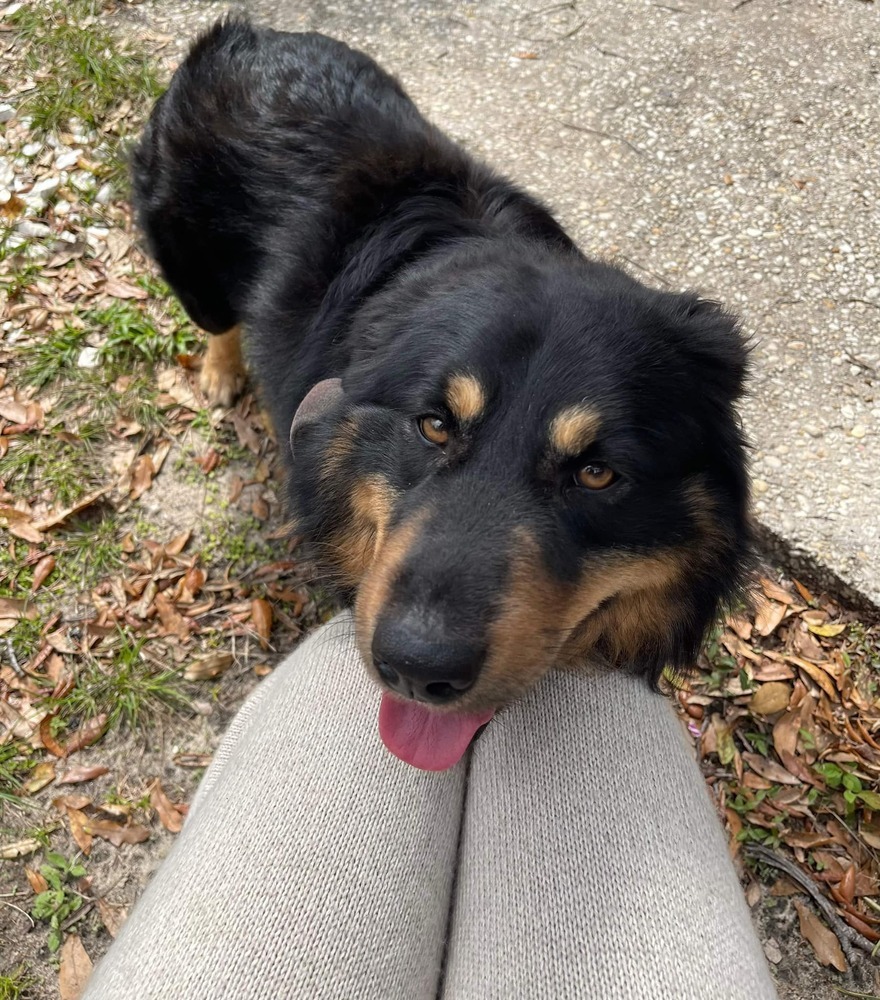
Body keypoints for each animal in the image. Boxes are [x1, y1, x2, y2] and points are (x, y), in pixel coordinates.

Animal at [134, 17, 752, 772]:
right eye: (433, 425)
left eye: (598, 473)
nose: (415, 670)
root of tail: (241, 36)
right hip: (190, 263)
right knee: (216, 320)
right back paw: (222, 373)